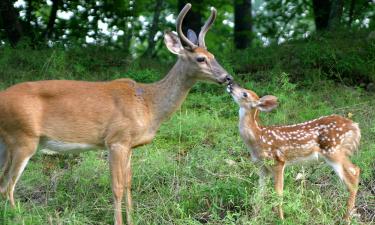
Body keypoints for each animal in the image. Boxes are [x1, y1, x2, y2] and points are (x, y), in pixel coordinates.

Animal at [0, 3, 234, 225]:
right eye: (201, 58)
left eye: (213, 55)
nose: (228, 77)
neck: (149, 104)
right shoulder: (116, 140)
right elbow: (117, 186)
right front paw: (119, 221)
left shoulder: (130, 145)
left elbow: (129, 184)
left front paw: (132, 220)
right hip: (23, 138)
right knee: (8, 185)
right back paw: (18, 217)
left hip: (7, 142)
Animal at [228, 83, 362, 221]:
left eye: (245, 94)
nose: (230, 84)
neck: (257, 137)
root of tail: (355, 126)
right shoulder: (262, 166)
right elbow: (260, 192)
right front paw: (254, 217)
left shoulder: (277, 161)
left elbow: (278, 192)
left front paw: (281, 219)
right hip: (338, 152)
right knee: (356, 170)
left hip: (334, 151)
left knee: (352, 176)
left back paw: (346, 218)